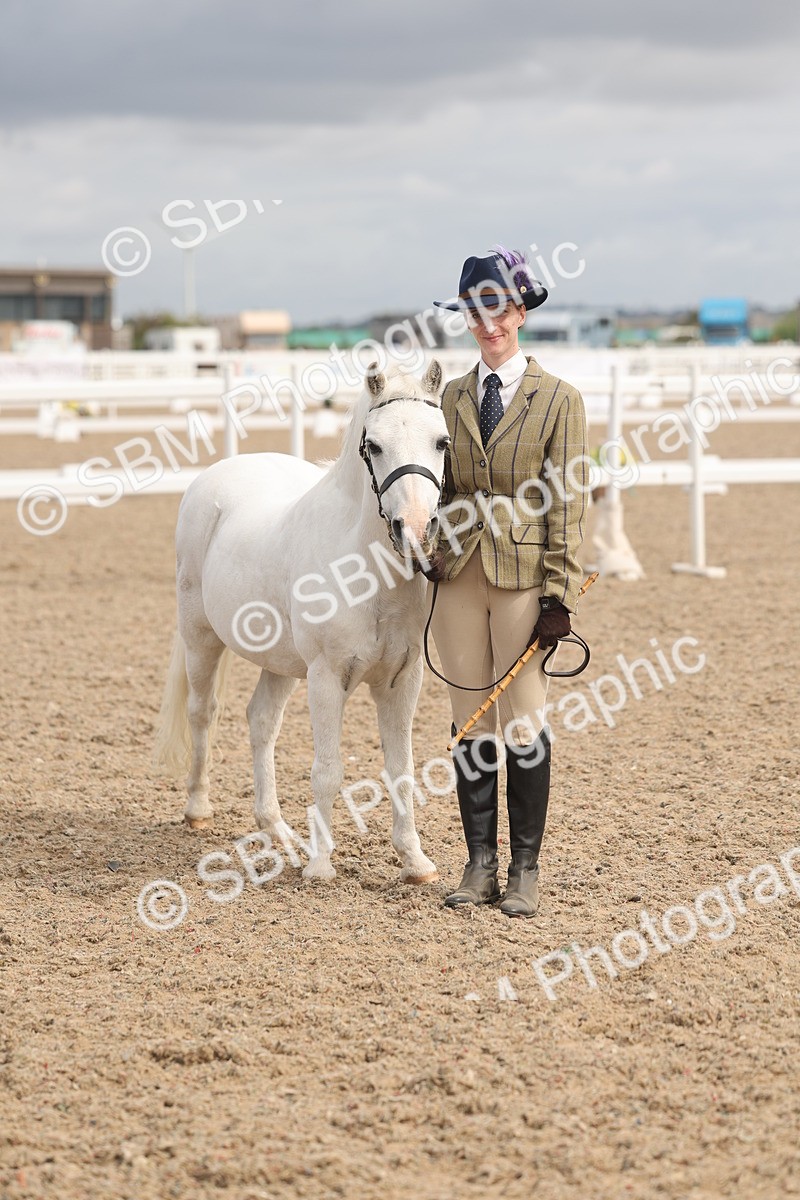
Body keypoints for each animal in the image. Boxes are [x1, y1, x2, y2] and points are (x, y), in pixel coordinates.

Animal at [154, 359, 450, 884]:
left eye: (441, 441)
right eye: (374, 445)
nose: (415, 531)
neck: (364, 568)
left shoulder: (402, 680)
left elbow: (402, 770)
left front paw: (415, 862)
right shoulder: (327, 678)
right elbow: (327, 771)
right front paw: (320, 865)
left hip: (281, 664)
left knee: (261, 722)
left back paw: (277, 829)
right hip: (200, 639)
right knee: (202, 713)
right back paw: (198, 810)